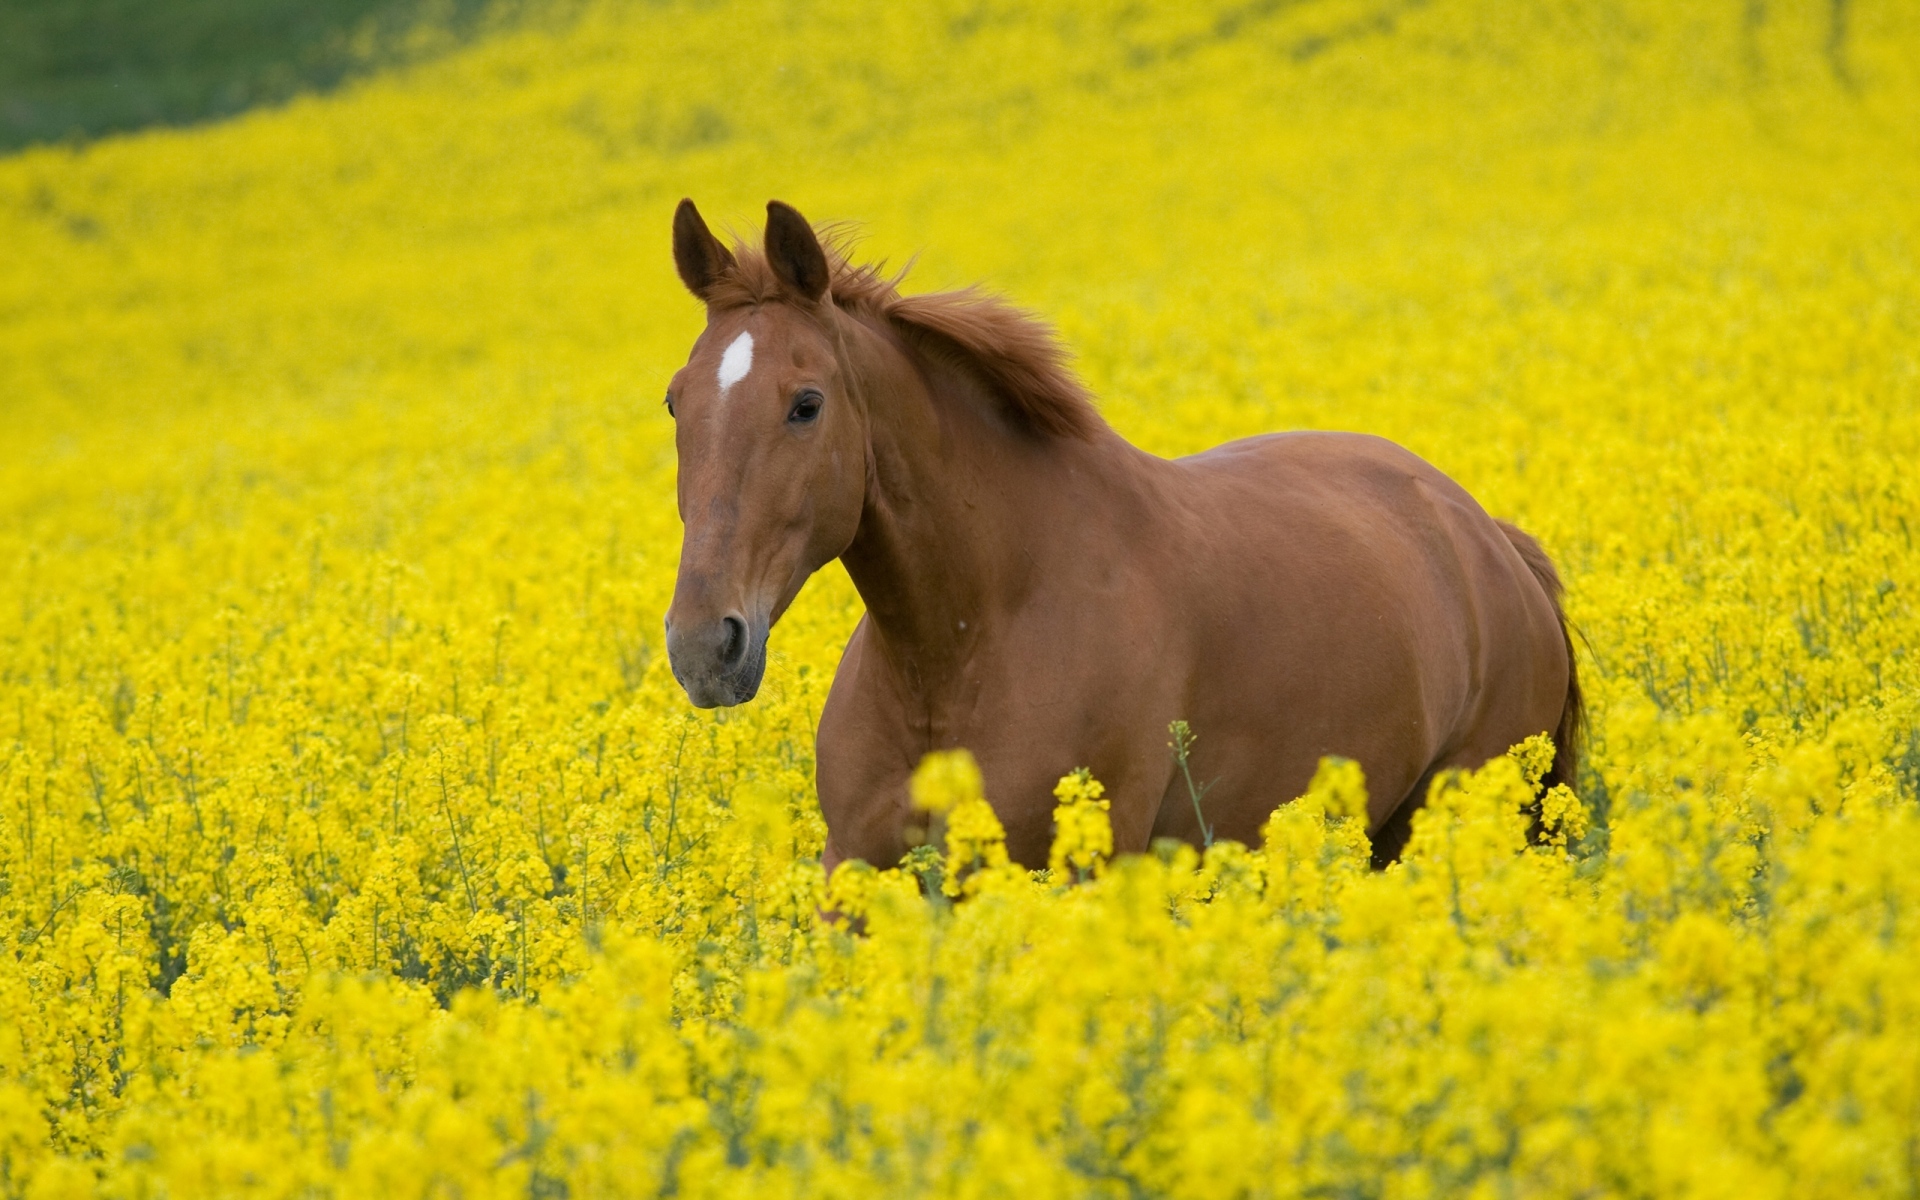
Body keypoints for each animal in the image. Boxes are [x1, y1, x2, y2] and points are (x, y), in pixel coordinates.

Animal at [662, 199, 1581, 872]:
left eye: (806, 403)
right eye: (676, 400)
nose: (705, 646)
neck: (962, 647)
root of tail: (1489, 539)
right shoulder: (854, 873)